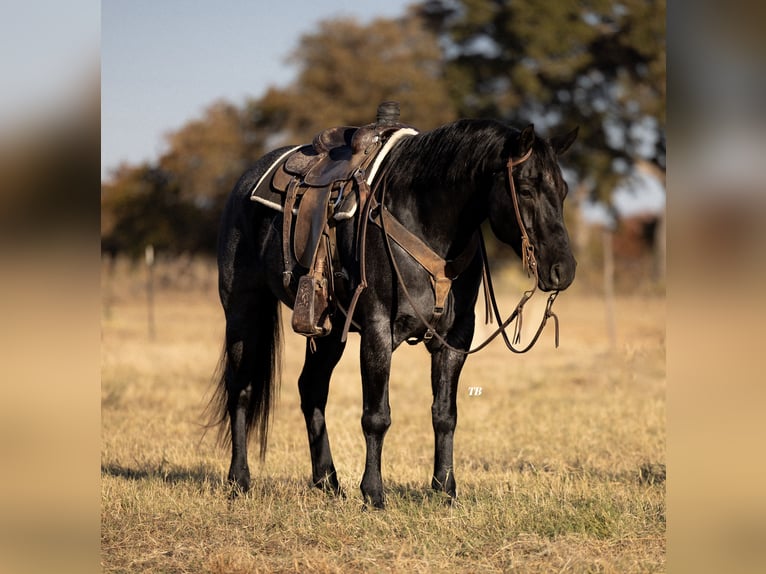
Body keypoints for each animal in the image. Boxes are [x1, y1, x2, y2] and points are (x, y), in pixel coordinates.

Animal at [207, 117, 580, 508]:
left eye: (563, 189)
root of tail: (244, 183)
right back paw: (239, 480)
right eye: (525, 189)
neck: (424, 221)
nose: (563, 270)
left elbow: (445, 414)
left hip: (329, 331)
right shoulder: (377, 329)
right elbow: (376, 416)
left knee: (311, 388)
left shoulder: (455, 337)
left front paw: (445, 489)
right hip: (243, 311)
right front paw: (373, 493)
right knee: (241, 388)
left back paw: (328, 481)